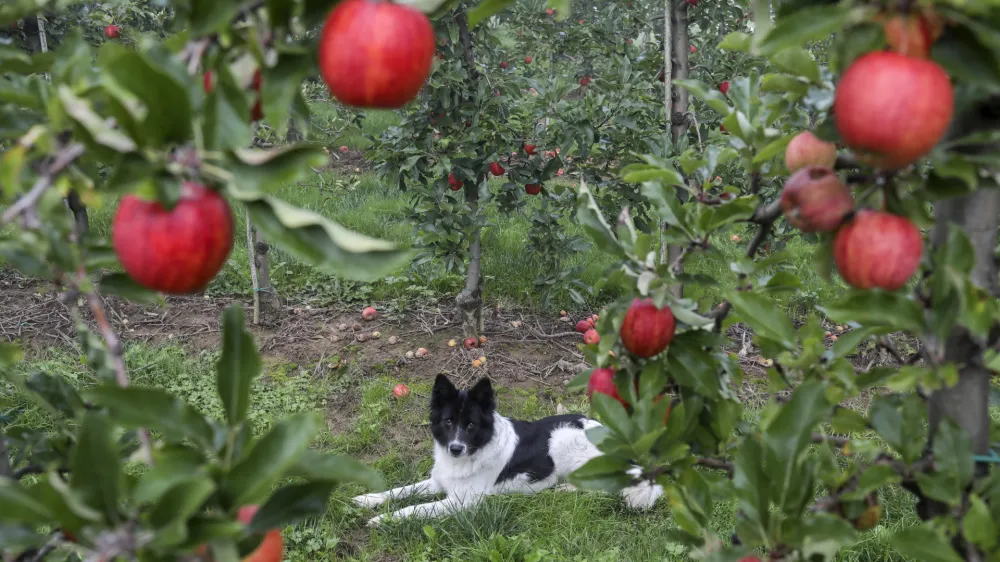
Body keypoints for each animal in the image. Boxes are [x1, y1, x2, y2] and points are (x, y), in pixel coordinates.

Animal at [352, 372, 664, 524]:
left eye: (471, 425)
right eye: (449, 421)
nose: (455, 449)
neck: (474, 452)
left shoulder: (462, 502)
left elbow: (415, 508)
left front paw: (383, 519)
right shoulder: (439, 482)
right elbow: (402, 491)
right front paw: (369, 499)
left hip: (563, 440)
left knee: (603, 487)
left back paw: (564, 489)